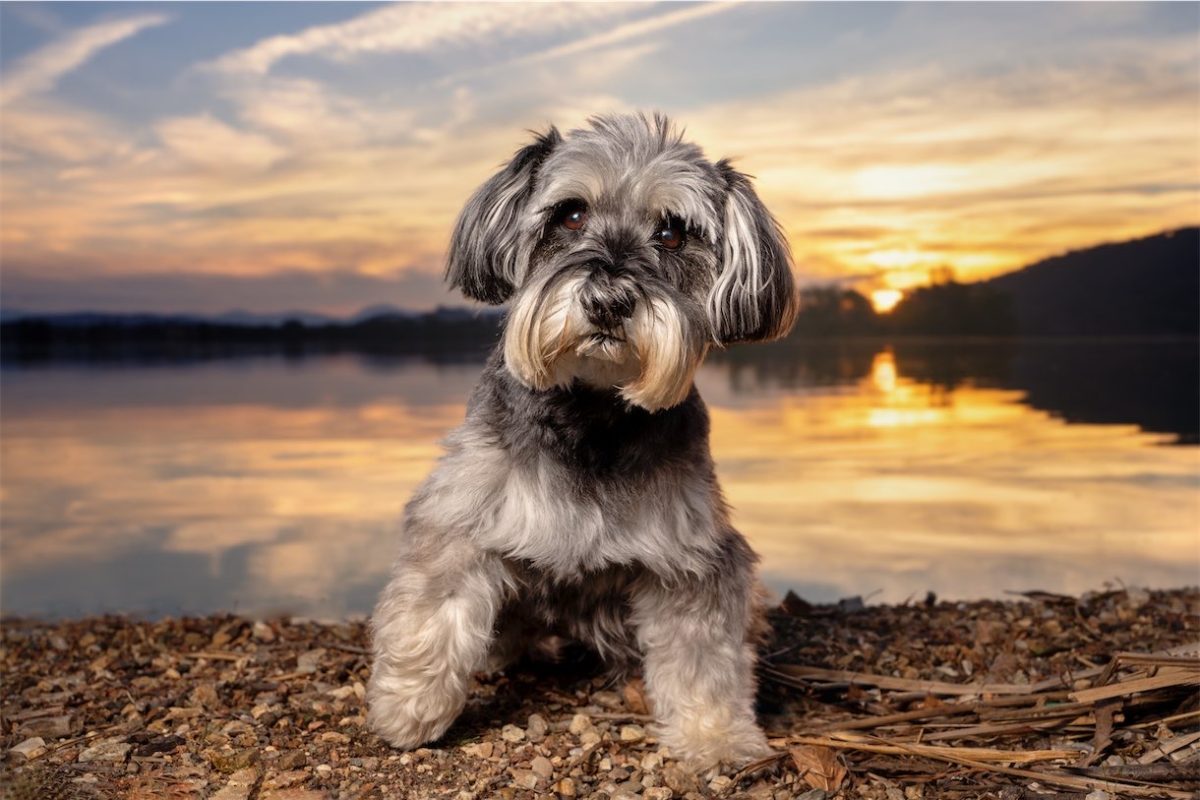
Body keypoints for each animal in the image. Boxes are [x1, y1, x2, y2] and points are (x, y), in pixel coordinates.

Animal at [364, 112, 796, 767]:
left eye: (673, 232)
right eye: (570, 214)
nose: (608, 302)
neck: (592, 411)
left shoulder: (691, 560)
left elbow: (704, 658)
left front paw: (716, 736)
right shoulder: (461, 519)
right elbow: (432, 612)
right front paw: (409, 709)